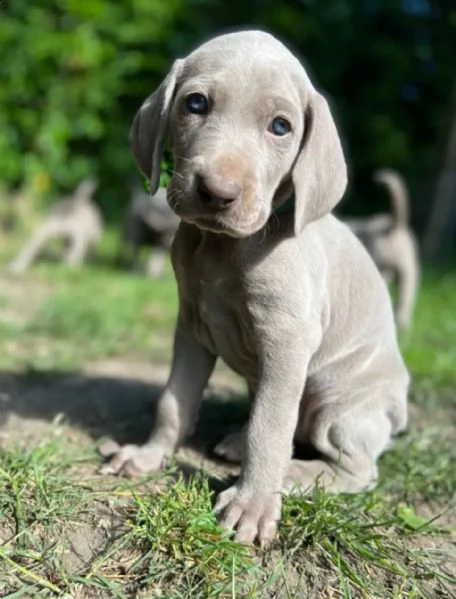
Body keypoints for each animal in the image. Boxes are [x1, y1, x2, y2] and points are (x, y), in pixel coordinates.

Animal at [102, 30, 410, 548]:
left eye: (280, 126)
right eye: (196, 103)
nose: (217, 192)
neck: (226, 247)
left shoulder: (287, 340)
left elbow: (272, 425)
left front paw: (252, 505)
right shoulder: (191, 328)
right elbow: (173, 402)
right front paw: (148, 454)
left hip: (337, 406)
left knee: (354, 468)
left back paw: (293, 474)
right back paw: (236, 441)